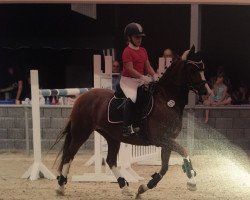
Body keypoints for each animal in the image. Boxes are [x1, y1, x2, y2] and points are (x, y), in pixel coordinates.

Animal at [54, 46, 209, 197]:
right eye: (192, 69)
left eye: (202, 68)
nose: (206, 92)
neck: (166, 100)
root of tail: (82, 97)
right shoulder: (162, 138)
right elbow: (184, 151)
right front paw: (192, 182)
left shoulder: (168, 140)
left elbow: (164, 168)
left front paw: (144, 188)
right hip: (81, 132)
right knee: (69, 155)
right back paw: (61, 187)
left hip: (111, 136)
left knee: (110, 160)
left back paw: (125, 187)